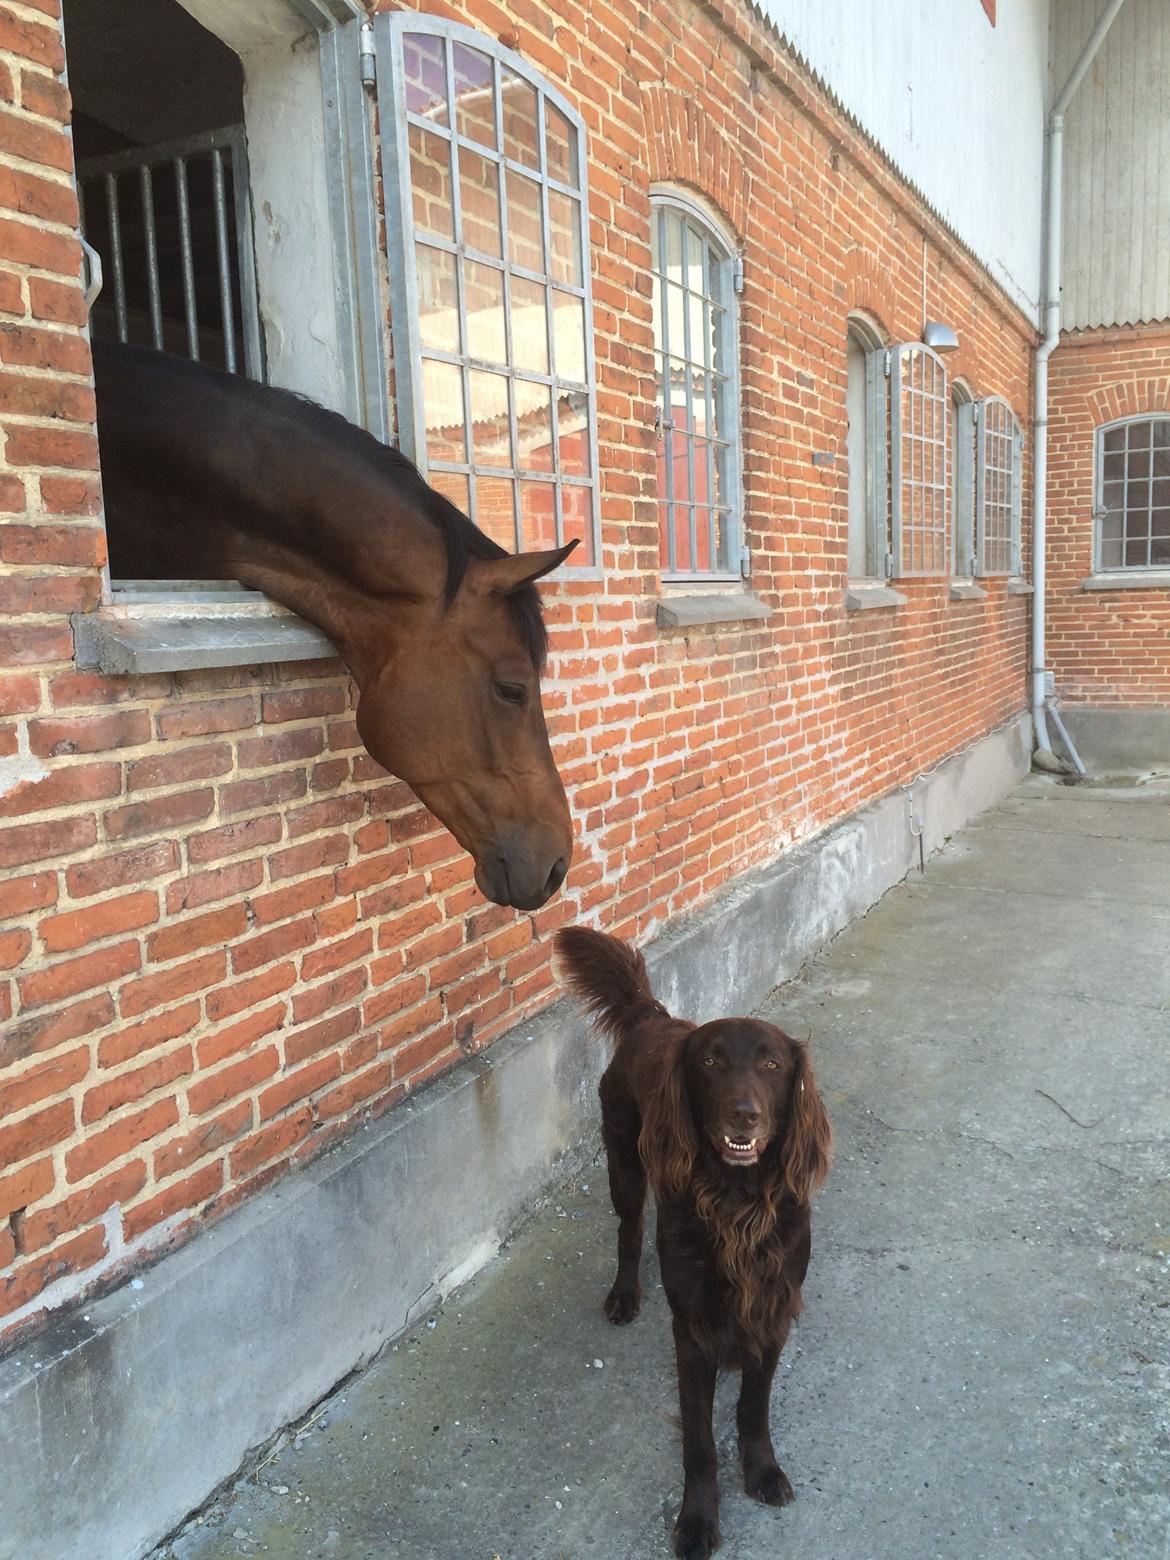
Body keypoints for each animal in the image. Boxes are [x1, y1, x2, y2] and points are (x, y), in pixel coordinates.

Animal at [558, 923, 836, 1560]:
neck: (737, 1202)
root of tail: (651, 1017)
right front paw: (698, 1518)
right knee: (629, 1230)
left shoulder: (772, 1310)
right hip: (624, 1162)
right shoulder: (692, 1328)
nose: (744, 1115)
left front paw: (762, 1470)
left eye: (772, 1063)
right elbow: (699, 1442)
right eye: (710, 1061)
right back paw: (624, 1294)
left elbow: (753, 1409)